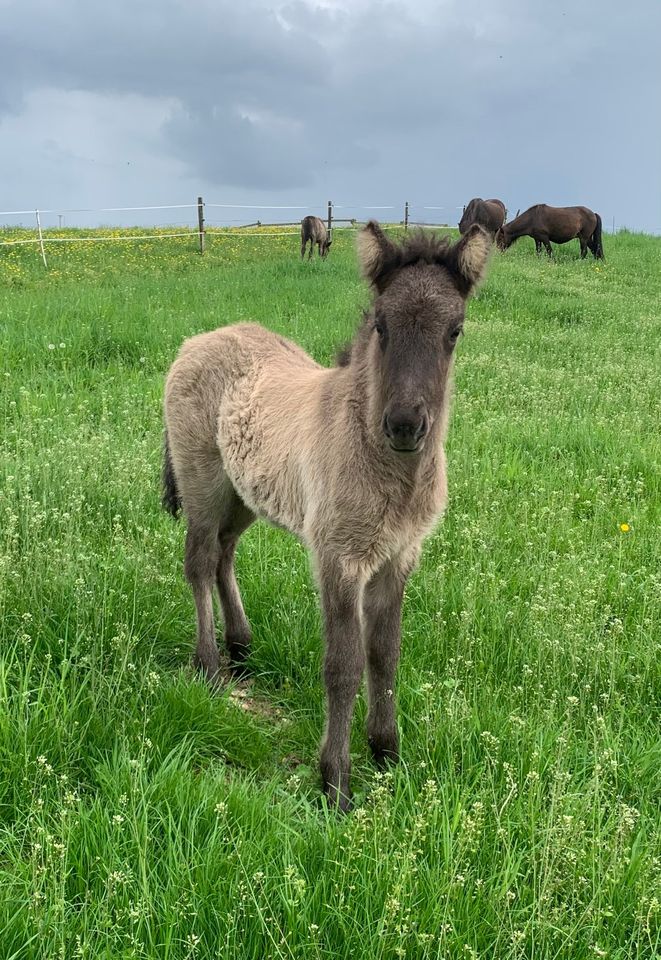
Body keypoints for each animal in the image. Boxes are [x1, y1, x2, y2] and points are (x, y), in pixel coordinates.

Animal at [160, 219, 490, 808]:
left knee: (223, 553)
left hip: (245, 496)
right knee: (198, 561)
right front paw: (335, 781)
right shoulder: (339, 558)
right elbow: (344, 664)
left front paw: (386, 753)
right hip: (203, 486)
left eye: (455, 330)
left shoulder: (399, 558)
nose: (404, 425)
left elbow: (385, 653)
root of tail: (196, 341)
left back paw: (241, 647)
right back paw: (210, 666)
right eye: (381, 325)